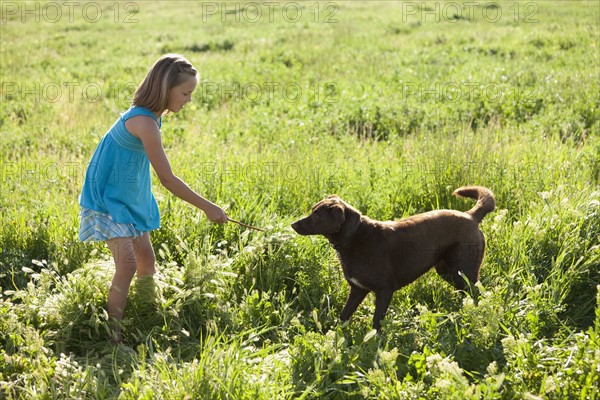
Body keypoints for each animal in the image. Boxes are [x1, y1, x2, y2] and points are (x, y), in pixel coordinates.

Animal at [292, 186, 496, 330]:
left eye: (316, 216)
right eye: (312, 210)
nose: (293, 224)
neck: (354, 236)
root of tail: (470, 216)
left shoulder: (384, 290)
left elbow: (376, 322)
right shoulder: (357, 289)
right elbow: (343, 316)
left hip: (463, 271)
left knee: (477, 293)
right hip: (448, 272)